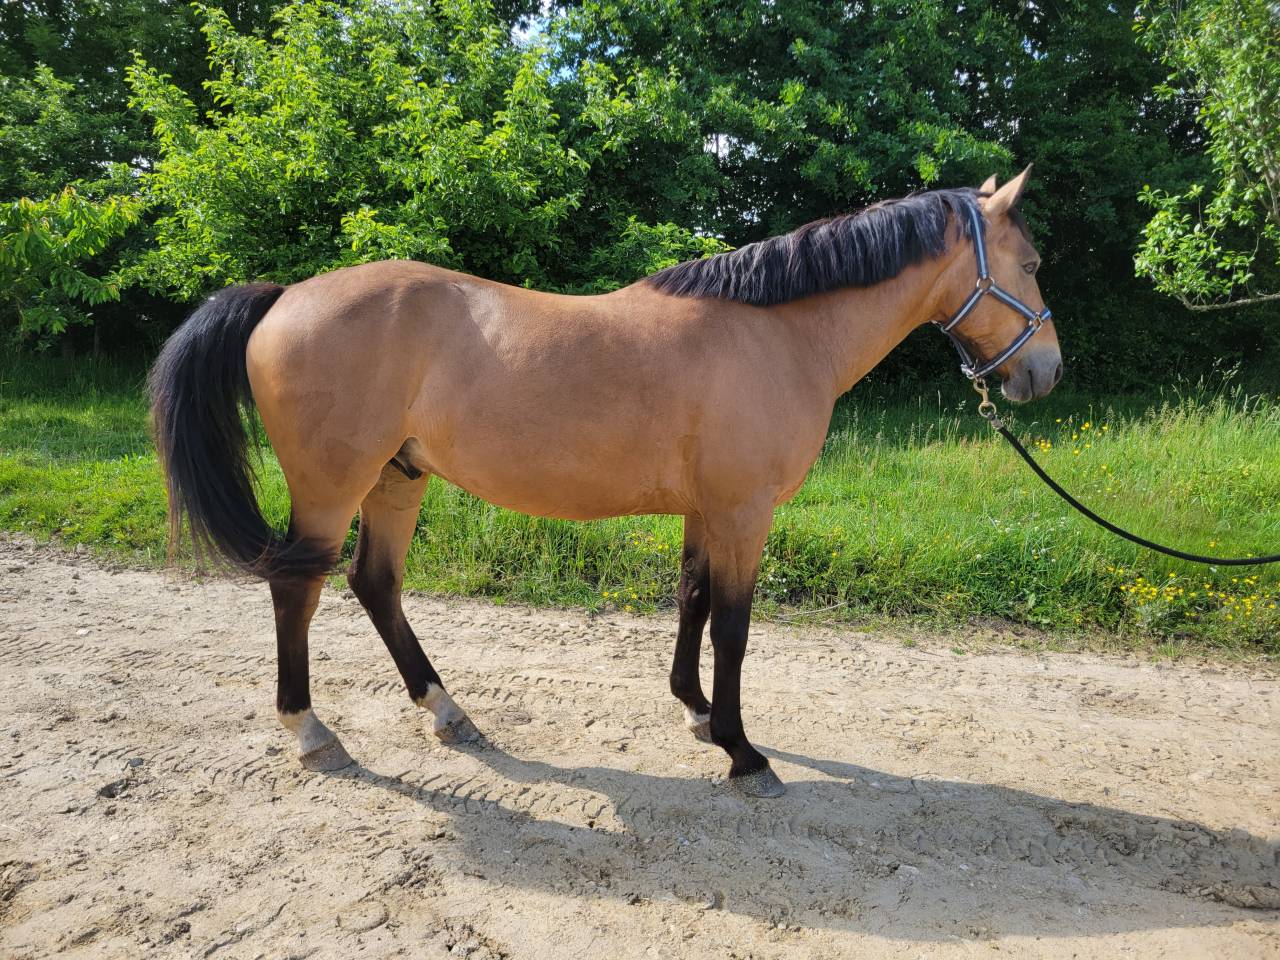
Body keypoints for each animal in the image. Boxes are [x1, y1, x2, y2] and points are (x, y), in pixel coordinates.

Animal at [149, 167, 1060, 798]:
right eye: (1031, 262)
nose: (1045, 373)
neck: (774, 333)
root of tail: (283, 297)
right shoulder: (744, 510)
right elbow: (734, 627)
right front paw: (743, 752)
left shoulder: (706, 510)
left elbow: (692, 600)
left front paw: (697, 712)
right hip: (333, 489)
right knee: (297, 591)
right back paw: (311, 731)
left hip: (396, 480)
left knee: (375, 585)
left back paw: (447, 712)